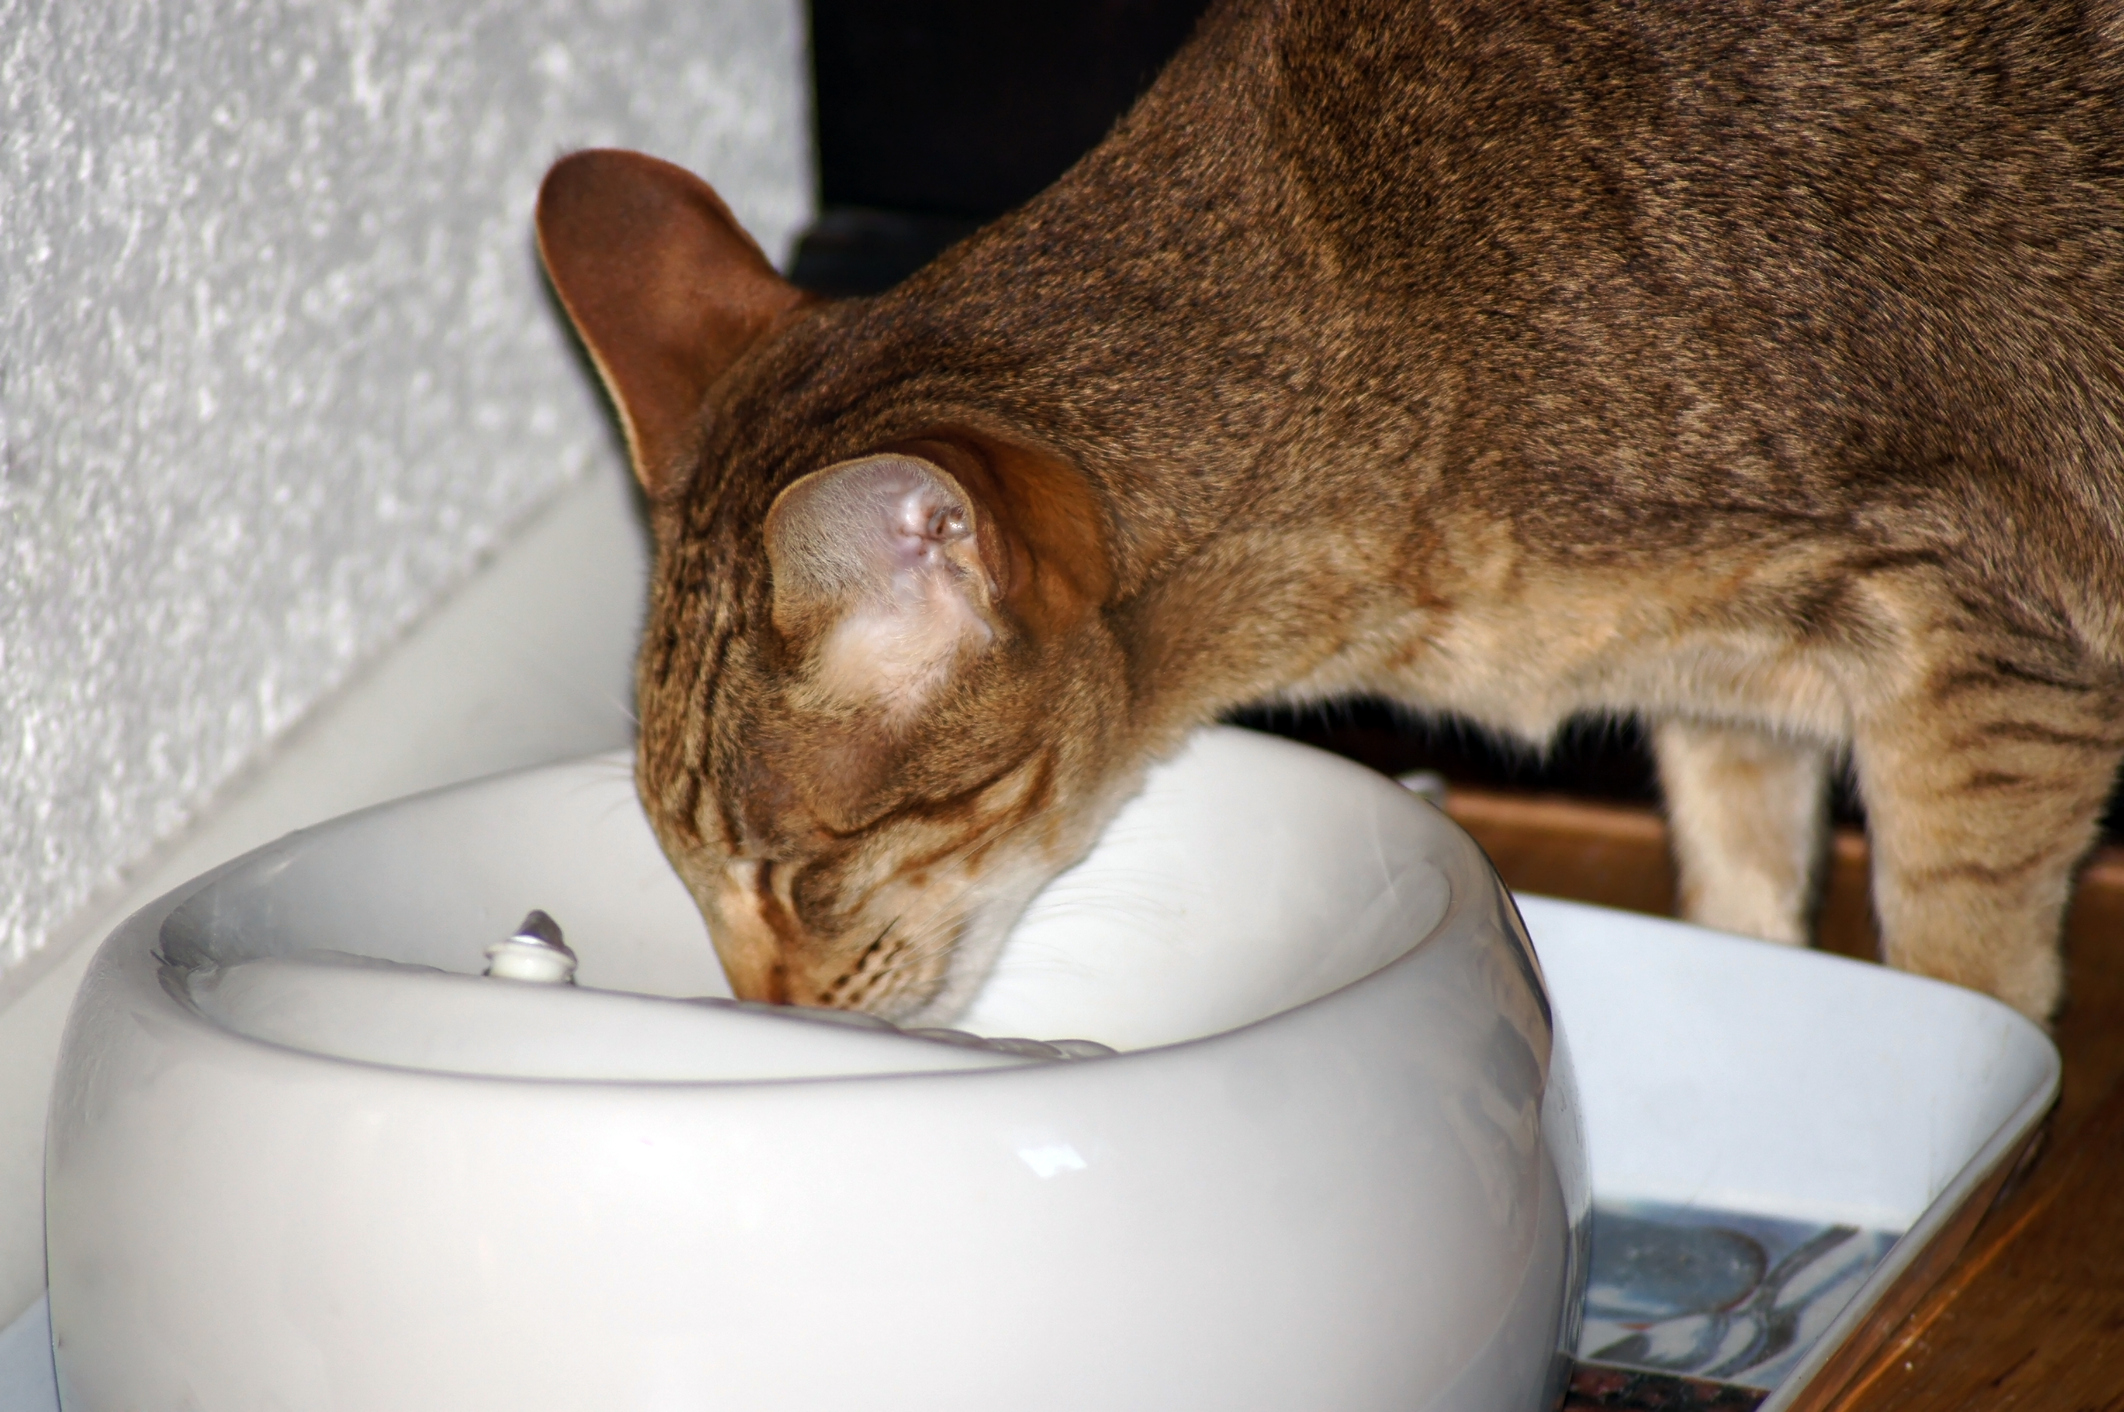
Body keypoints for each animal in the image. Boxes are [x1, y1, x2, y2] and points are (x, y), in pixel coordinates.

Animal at [535, 0, 2124, 1019]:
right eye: (687, 869)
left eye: (794, 875)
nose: (769, 1013)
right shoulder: (1727, 702)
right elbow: (1743, 897)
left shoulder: (1986, 657)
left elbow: (1960, 974)